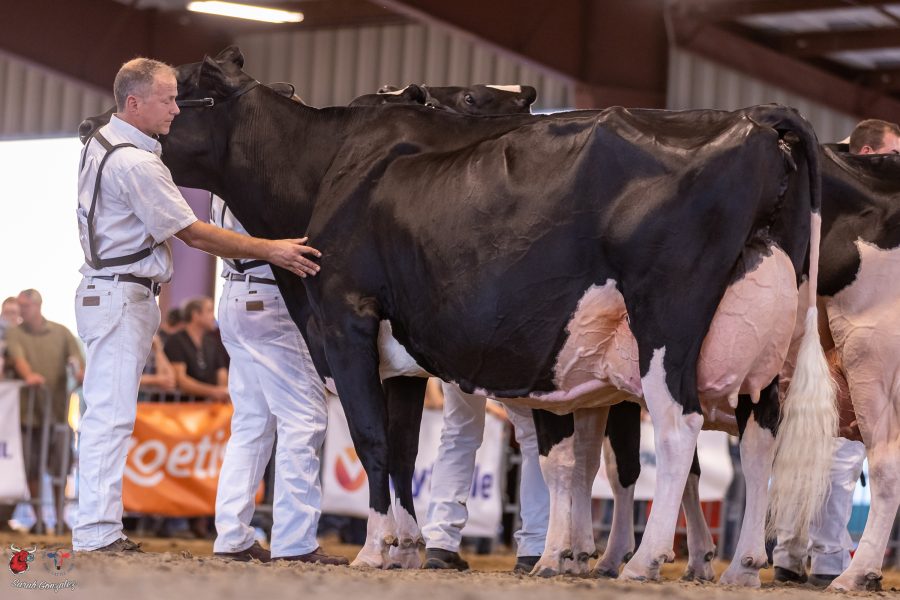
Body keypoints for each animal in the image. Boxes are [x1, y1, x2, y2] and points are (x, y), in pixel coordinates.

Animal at [83, 46, 834, 584]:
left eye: (184, 89)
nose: (93, 123)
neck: (326, 169)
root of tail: (754, 118)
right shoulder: (399, 356)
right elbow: (401, 447)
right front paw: (410, 545)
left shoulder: (345, 319)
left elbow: (368, 440)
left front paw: (375, 548)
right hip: (772, 345)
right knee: (761, 440)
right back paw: (742, 565)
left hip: (666, 321)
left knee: (678, 432)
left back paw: (647, 561)